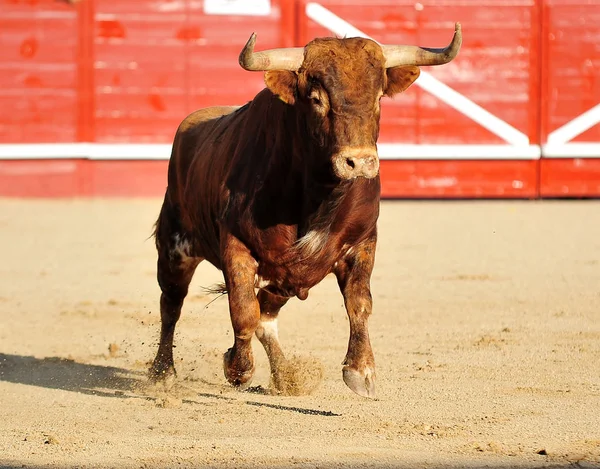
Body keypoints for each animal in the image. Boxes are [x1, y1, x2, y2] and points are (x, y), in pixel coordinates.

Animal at [149, 25, 460, 396]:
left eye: (378, 98)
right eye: (316, 99)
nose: (359, 162)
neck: (317, 195)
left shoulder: (362, 242)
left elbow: (359, 303)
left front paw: (361, 370)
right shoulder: (236, 245)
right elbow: (242, 309)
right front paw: (238, 369)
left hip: (283, 276)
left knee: (266, 316)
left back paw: (285, 375)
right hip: (175, 245)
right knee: (172, 303)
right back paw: (162, 373)